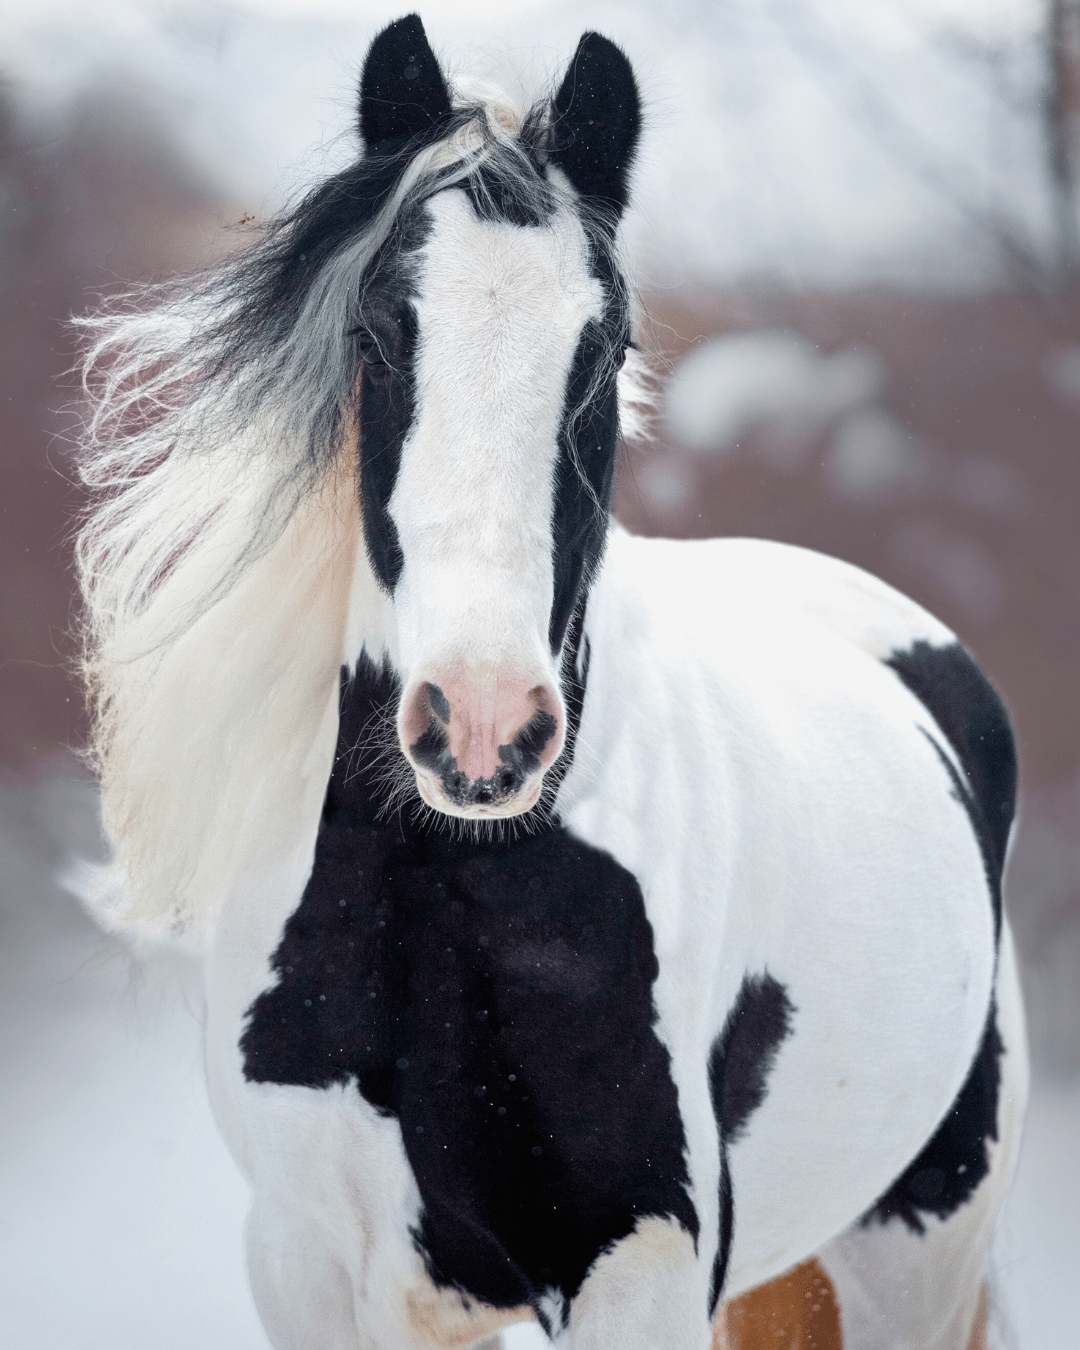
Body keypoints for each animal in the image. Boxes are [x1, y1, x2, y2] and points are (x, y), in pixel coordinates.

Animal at [74, 15, 1026, 1350]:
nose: (483, 728)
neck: (439, 900)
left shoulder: (641, 1267)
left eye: (605, 346)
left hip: (922, 1240)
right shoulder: (313, 1263)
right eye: (380, 333)